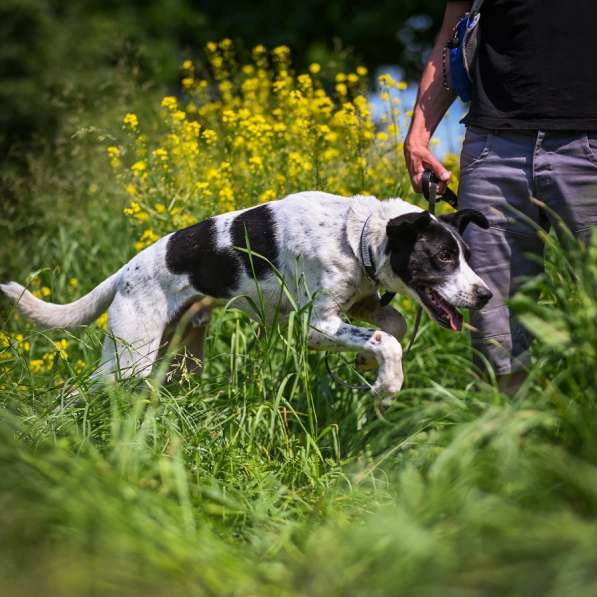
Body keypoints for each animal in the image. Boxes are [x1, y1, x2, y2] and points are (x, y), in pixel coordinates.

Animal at [2, 192, 492, 396]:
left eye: (468, 255)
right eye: (444, 256)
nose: (486, 295)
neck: (355, 235)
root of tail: (125, 270)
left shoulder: (357, 304)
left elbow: (394, 325)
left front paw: (367, 366)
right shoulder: (317, 326)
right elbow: (388, 340)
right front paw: (387, 386)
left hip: (179, 359)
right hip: (128, 359)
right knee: (77, 392)